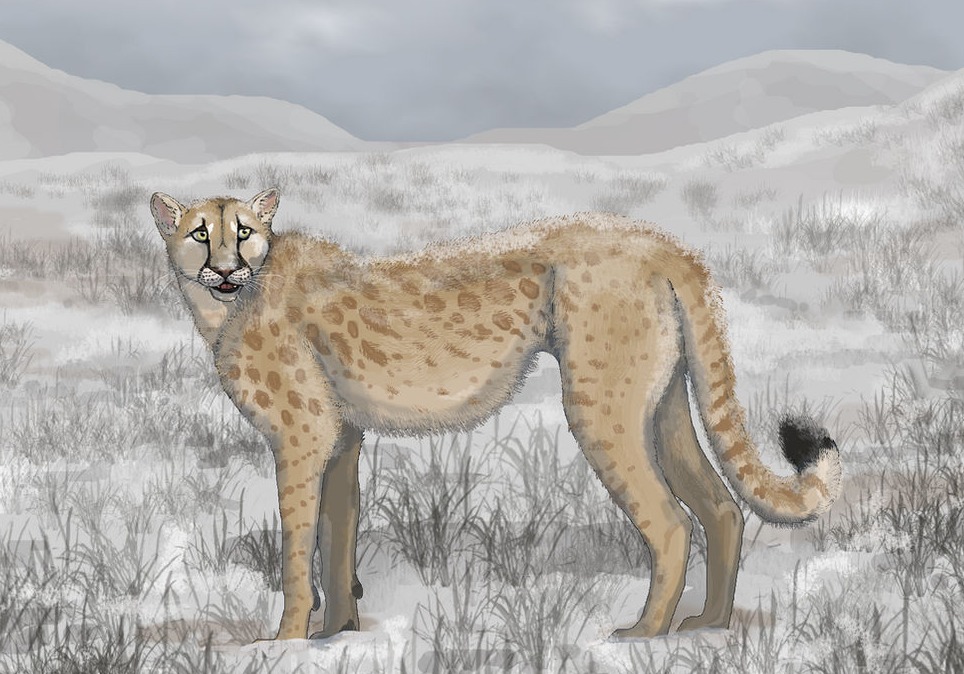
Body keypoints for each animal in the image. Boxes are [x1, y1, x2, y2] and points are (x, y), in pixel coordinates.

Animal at [150, 187, 841, 641]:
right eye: (200, 232)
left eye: (242, 231)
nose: (225, 267)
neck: (232, 301)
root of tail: (658, 238)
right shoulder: (342, 439)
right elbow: (338, 534)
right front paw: (337, 634)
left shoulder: (303, 439)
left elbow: (299, 547)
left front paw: (286, 641)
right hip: (663, 400)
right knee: (721, 506)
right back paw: (708, 627)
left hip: (600, 406)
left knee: (672, 522)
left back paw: (643, 634)